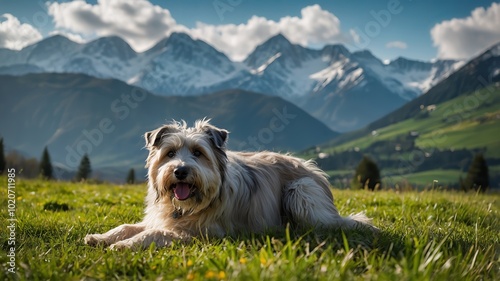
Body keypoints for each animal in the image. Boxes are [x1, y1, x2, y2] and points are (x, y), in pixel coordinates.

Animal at [86, 119, 376, 248]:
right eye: (170, 153)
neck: (186, 207)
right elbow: (128, 226)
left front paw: (122, 246)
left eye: (198, 153)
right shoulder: (162, 218)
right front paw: (100, 237)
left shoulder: (199, 232)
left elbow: (154, 234)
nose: (180, 171)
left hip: (301, 191)